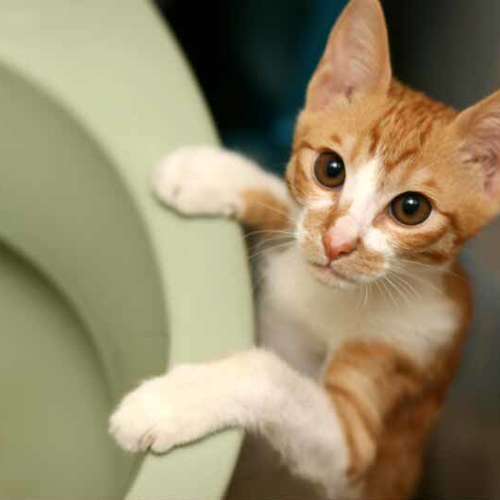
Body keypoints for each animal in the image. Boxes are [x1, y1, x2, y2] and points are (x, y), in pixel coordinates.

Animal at [109, 0, 500, 498]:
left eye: (412, 209)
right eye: (330, 169)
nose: (338, 244)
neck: (335, 298)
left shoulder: (363, 435)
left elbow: (270, 375)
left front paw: (167, 403)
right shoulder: (302, 234)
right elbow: (288, 207)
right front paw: (200, 172)